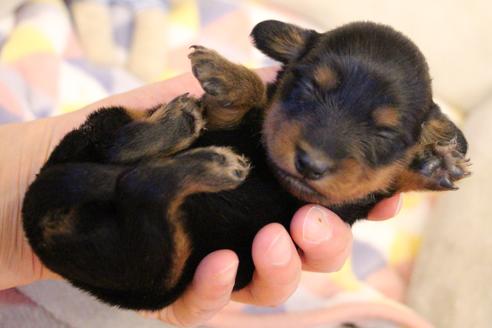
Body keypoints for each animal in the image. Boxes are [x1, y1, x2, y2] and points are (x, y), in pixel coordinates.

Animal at [22, 19, 468, 310]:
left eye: (386, 134)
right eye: (308, 88)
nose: (310, 163)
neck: (271, 170)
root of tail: (36, 220)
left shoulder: (342, 203)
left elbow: (379, 180)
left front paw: (437, 164)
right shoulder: (230, 121)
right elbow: (250, 102)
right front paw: (226, 75)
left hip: (155, 269)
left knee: (136, 184)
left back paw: (200, 152)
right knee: (125, 166)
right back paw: (187, 135)